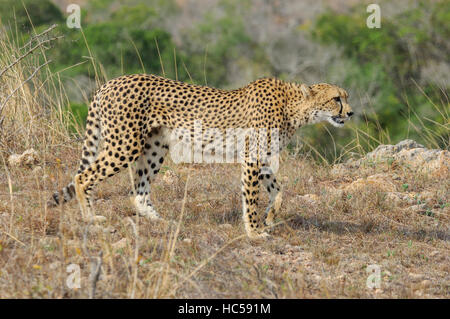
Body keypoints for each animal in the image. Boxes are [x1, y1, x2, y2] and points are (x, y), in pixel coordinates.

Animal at [48, 74, 352, 240]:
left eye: (345, 97)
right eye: (336, 98)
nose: (350, 113)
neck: (293, 107)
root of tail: (109, 82)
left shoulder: (263, 157)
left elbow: (278, 190)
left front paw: (270, 216)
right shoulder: (251, 157)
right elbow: (251, 197)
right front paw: (254, 231)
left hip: (155, 146)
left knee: (138, 191)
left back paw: (161, 220)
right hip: (126, 144)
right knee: (83, 176)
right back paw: (90, 218)